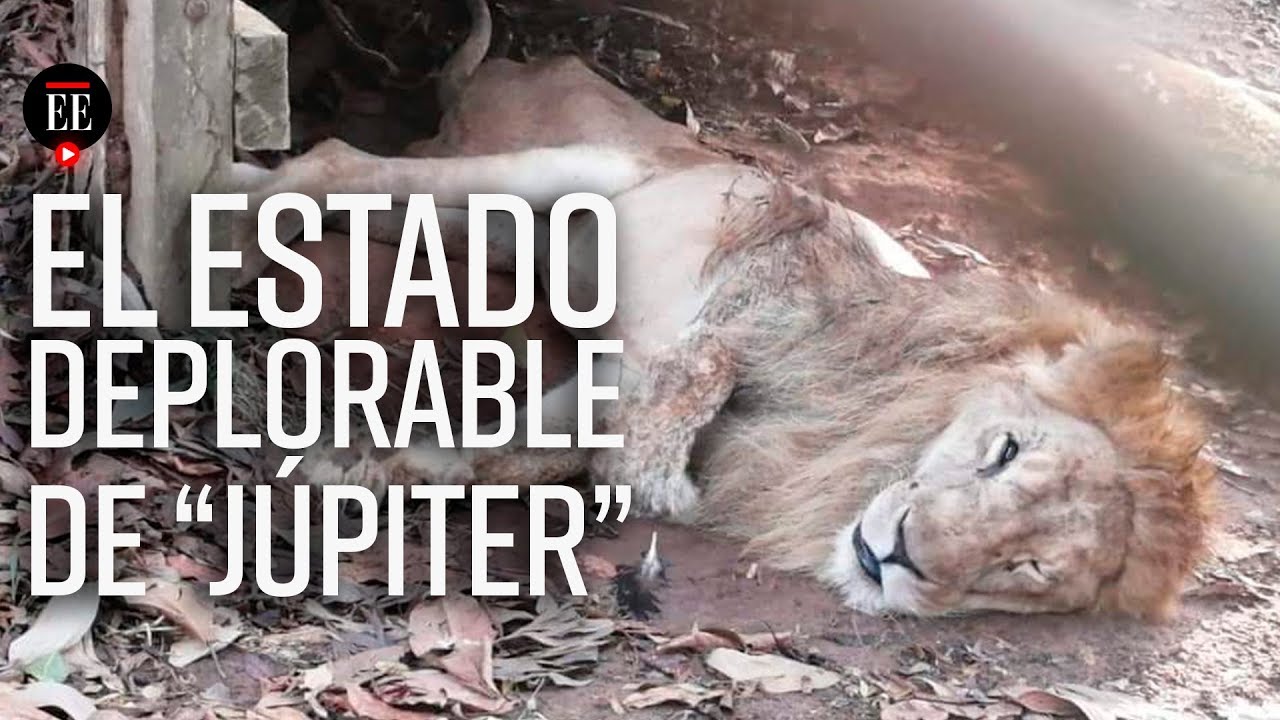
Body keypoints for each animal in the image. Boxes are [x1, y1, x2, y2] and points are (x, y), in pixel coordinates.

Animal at [226, 0, 1215, 619]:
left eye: (1029, 567)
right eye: (1004, 452)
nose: (900, 557)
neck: (852, 447)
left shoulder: (597, 389)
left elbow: (516, 453)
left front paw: (359, 465)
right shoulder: (758, 275)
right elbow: (691, 377)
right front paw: (667, 471)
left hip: (508, 229)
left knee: (385, 199)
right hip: (578, 168)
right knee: (341, 160)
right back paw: (234, 204)